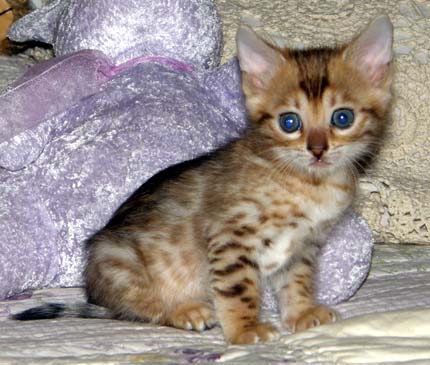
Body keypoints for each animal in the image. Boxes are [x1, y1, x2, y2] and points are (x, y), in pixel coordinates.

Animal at [12, 15, 394, 342]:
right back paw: (183, 310)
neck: (308, 184)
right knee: (138, 309)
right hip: (117, 259)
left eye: (342, 118)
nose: (317, 150)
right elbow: (239, 289)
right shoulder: (231, 236)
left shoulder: (301, 247)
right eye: (290, 122)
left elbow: (296, 283)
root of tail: (97, 293)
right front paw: (245, 330)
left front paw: (301, 314)